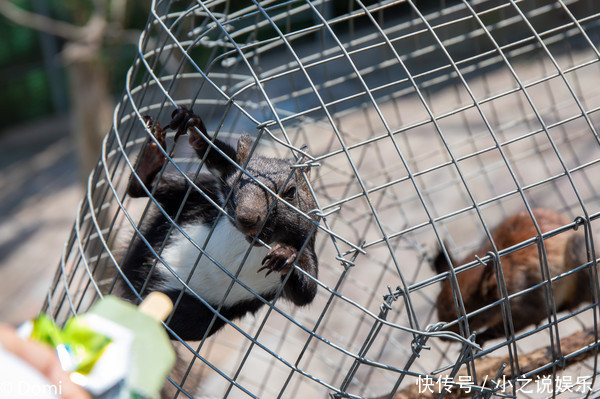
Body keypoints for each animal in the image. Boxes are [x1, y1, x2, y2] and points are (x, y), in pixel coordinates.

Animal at [119, 108, 322, 342]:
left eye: (291, 192)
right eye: (236, 182)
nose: (247, 217)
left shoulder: (306, 243)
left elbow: (306, 290)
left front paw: (286, 255)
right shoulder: (221, 178)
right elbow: (220, 159)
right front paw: (193, 125)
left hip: (192, 315)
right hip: (195, 188)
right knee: (143, 189)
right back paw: (149, 161)